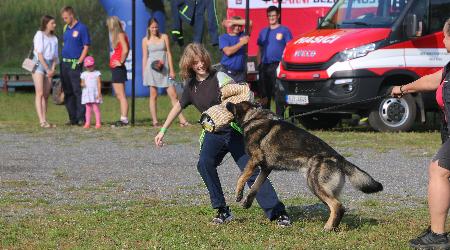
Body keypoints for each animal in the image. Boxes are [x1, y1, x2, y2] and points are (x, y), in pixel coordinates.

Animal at [227, 101, 382, 230]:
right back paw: (333, 227)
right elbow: (256, 186)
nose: (227, 103)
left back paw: (327, 228)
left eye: (235, 104)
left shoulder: (255, 159)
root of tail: (338, 157)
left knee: (337, 206)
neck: (254, 117)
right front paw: (247, 202)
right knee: (338, 207)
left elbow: (242, 177)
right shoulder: (266, 168)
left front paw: (238, 194)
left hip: (314, 183)